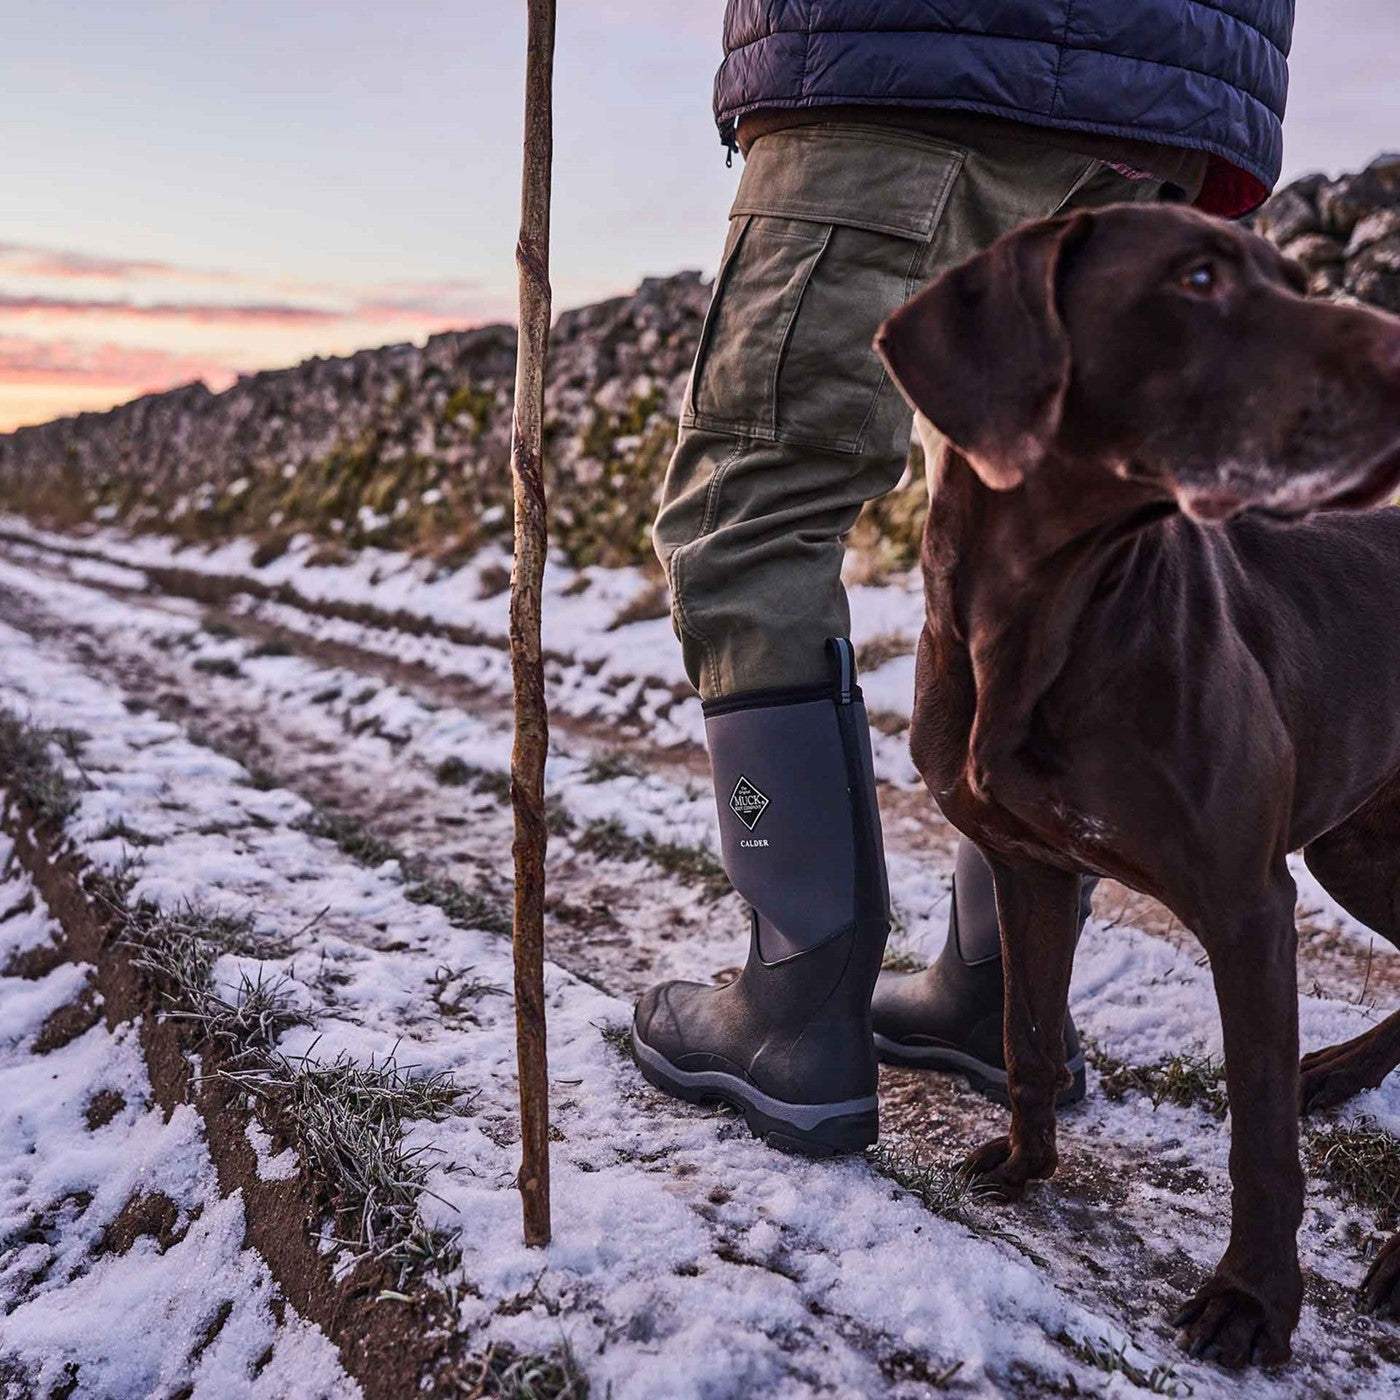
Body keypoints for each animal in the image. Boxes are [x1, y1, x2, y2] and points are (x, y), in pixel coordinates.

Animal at [879, 203, 1400, 1372]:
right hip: (1357, 841)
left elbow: (1258, 1139)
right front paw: (1024, 1164)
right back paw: (1339, 1072)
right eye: (1196, 277)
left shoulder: (1247, 907)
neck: (1043, 610)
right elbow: (1025, 1031)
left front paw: (1252, 1302)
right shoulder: (1026, 867)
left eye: (1293, 277)